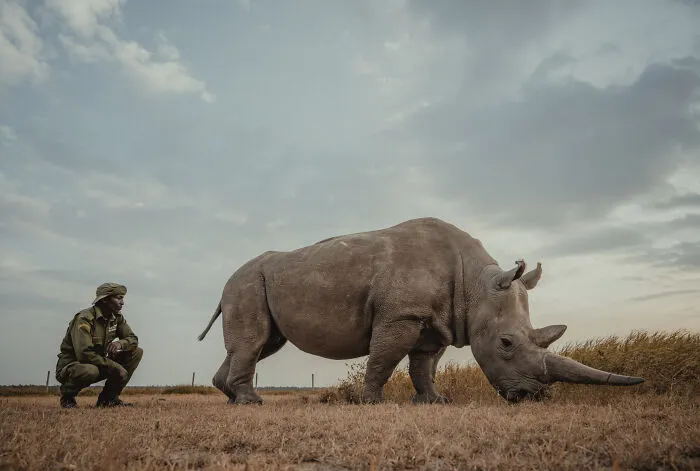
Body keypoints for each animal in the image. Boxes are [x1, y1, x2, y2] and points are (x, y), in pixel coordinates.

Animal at [197, 217, 644, 405]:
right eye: (506, 343)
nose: (532, 397)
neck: (474, 284)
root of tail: (228, 280)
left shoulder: (438, 320)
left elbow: (424, 366)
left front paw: (435, 402)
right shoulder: (402, 314)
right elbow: (384, 358)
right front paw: (372, 403)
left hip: (255, 283)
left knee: (263, 344)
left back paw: (231, 399)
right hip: (245, 282)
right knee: (255, 342)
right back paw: (252, 403)